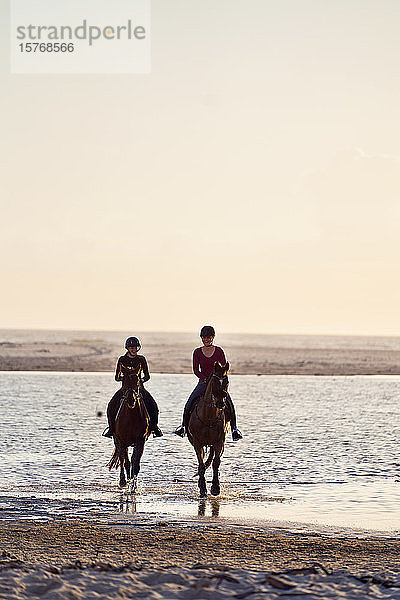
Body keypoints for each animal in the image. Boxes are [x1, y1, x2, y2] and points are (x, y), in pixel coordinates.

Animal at [187, 360, 230, 496]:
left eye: (226, 382)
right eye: (215, 382)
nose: (221, 403)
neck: (208, 416)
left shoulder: (219, 442)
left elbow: (216, 462)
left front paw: (215, 487)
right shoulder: (197, 443)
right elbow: (201, 465)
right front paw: (202, 487)